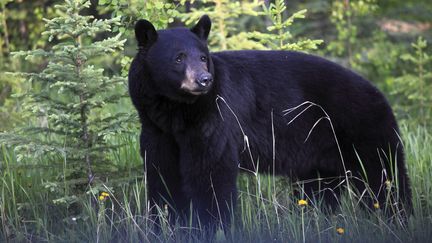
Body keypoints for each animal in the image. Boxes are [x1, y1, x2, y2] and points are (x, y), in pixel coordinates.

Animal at [128, 15, 412, 232]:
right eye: (178, 58)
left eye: (202, 57)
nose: (204, 80)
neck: (175, 111)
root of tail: (378, 92)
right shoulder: (156, 130)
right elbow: (162, 175)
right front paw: (164, 225)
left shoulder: (213, 121)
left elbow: (210, 174)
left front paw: (210, 227)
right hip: (321, 154)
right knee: (319, 190)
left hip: (363, 130)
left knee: (383, 177)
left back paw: (399, 219)